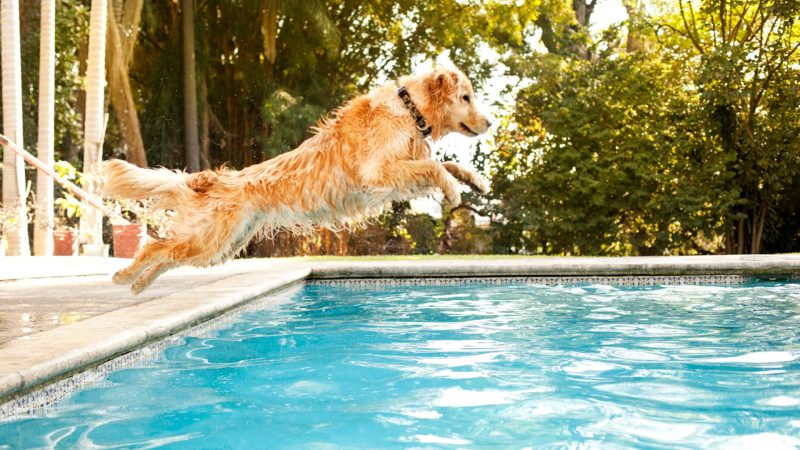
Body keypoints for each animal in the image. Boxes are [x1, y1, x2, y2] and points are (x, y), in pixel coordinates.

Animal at [103, 65, 490, 294]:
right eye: (466, 97)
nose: (489, 123)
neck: (410, 110)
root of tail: (215, 179)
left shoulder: (400, 172)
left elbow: (444, 163)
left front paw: (476, 181)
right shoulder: (378, 173)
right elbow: (436, 167)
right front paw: (454, 190)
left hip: (219, 247)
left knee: (168, 255)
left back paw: (139, 284)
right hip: (209, 240)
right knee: (154, 247)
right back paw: (125, 277)